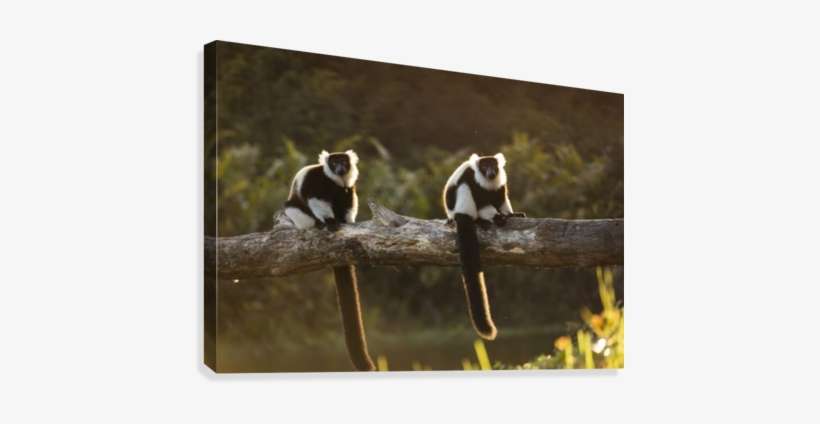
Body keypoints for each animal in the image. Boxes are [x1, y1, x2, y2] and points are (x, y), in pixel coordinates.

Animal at [283, 149, 375, 371]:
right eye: (334, 163)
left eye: (343, 162)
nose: (340, 168)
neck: (334, 181)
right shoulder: (315, 182)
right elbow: (317, 199)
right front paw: (330, 221)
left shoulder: (347, 187)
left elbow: (348, 200)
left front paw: (346, 220)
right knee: (292, 206)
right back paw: (318, 224)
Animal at [442, 153, 525, 340]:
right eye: (484, 167)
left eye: (493, 166)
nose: (490, 173)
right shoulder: (472, 179)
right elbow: (481, 202)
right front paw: (497, 217)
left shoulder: (500, 184)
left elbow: (500, 198)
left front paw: (510, 214)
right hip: (457, 207)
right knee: (464, 194)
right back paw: (481, 220)